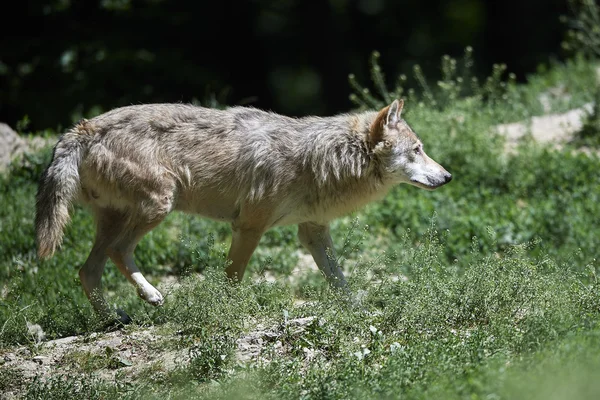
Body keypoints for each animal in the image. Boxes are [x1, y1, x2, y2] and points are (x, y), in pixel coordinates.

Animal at [35, 98, 450, 324]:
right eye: (417, 150)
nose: (447, 176)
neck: (319, 159)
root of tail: (83, 127)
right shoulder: (249, 226)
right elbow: (233, 278)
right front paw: (228, 312)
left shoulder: (313, 231)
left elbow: (340, 280)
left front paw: (359, 311)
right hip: (159, 204)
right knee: (117, 252)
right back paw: (151, 296)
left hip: (119, 218)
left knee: (87, 271)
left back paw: (113, 320)